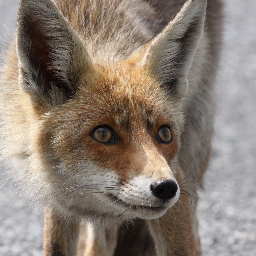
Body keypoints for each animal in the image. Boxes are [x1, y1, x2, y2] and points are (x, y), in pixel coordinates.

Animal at [0, 0, 222, 255]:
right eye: (103, 134)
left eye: (165, 134)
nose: (166, 187)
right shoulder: (56, 194)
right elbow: (56, 246)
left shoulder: (175, 174)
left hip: (196, 147)